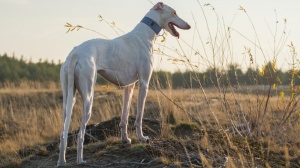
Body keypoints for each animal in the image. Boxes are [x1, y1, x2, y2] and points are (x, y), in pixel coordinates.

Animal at [57, 1, 190, 166]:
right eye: (174, 13)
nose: (189, 25)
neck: (145, 34)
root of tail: (75, 54)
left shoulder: (129, 86)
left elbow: (124, 117)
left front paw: (125, 139)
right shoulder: (144, 83)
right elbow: (139, 116)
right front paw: (142, 138)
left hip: (68, 97)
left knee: (63, 133)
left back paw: (61, 161)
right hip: (88, 97)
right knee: (80, 133)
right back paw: (80, 160)